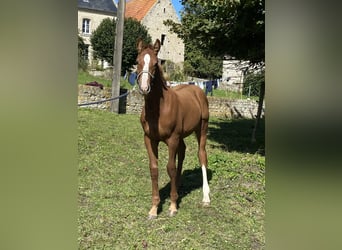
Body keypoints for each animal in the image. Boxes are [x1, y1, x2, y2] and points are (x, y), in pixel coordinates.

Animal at [136, 38, 211, 219]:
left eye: (155, 63)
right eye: (137, 61)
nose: (144, 88)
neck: (158, 109)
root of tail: (198, 89)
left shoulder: (172, 139)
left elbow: (170, 167)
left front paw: (173, 206)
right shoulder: (149, 139)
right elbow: (154, 168)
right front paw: (154, 208)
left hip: (202, 129)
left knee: (202, 155)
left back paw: (206, 197)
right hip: (182, 136)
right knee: (182, 152)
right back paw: (178, 182)